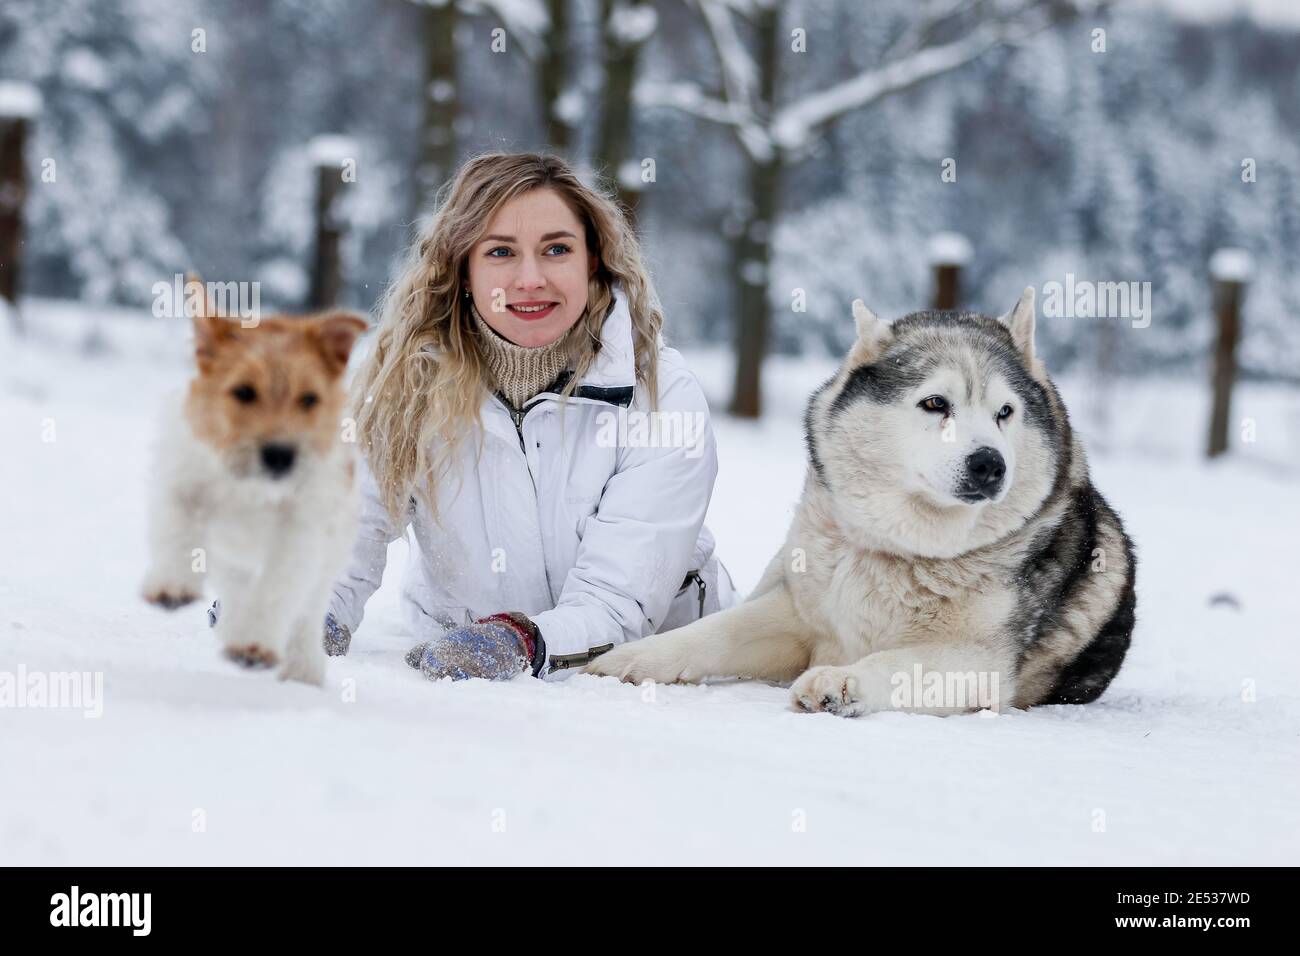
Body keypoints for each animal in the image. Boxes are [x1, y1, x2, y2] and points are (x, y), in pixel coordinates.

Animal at [585, 291, 1133, 717]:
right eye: (935, 404)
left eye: (1005, 412)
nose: (990, 464)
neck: (900, 552)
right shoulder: (795, 618)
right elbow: (709, 633)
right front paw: (629, 658)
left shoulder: (980, 663)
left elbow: (894, 662)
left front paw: (840, 683)